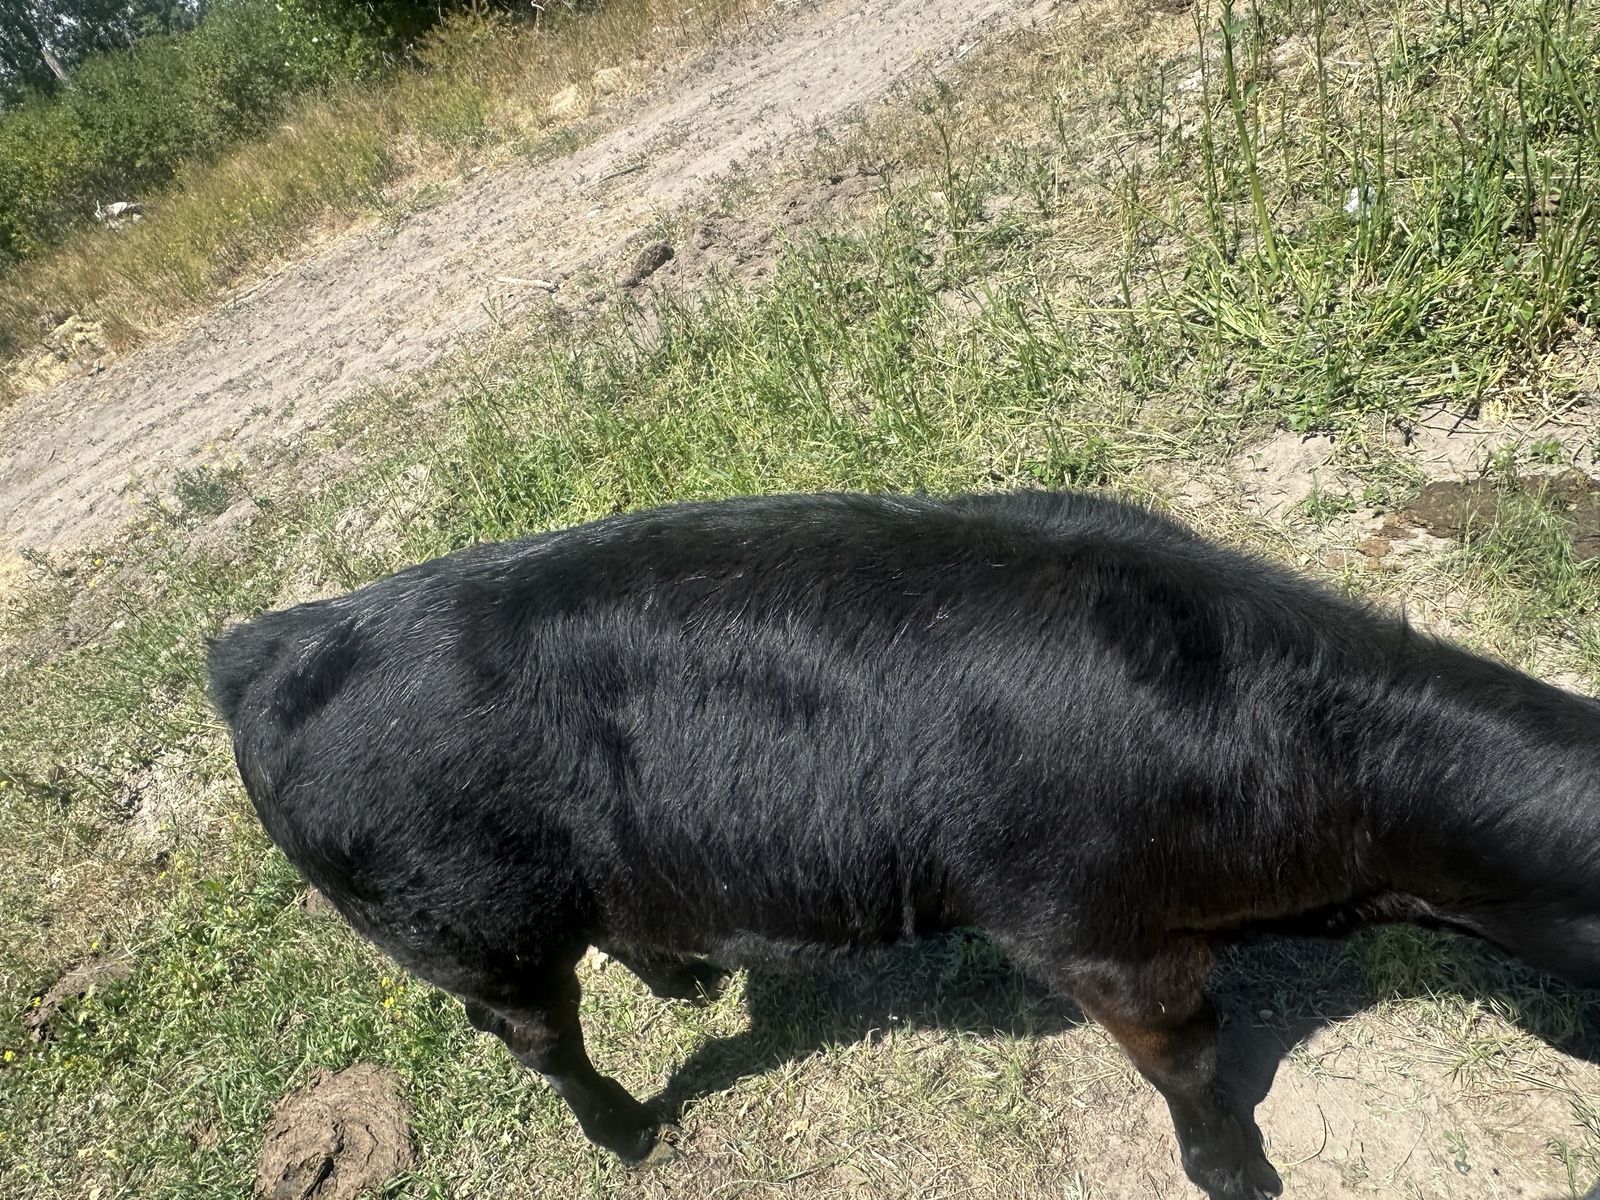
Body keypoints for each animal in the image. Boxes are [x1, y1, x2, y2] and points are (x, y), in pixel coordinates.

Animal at [207, 489, 1600, 1200]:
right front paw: (1236, 1175)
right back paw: (630, 1134)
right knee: (537, 1036)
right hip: (468, 927)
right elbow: (1190, 1064)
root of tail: (265, 644)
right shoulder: (1095, 937)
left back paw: (689, 976)